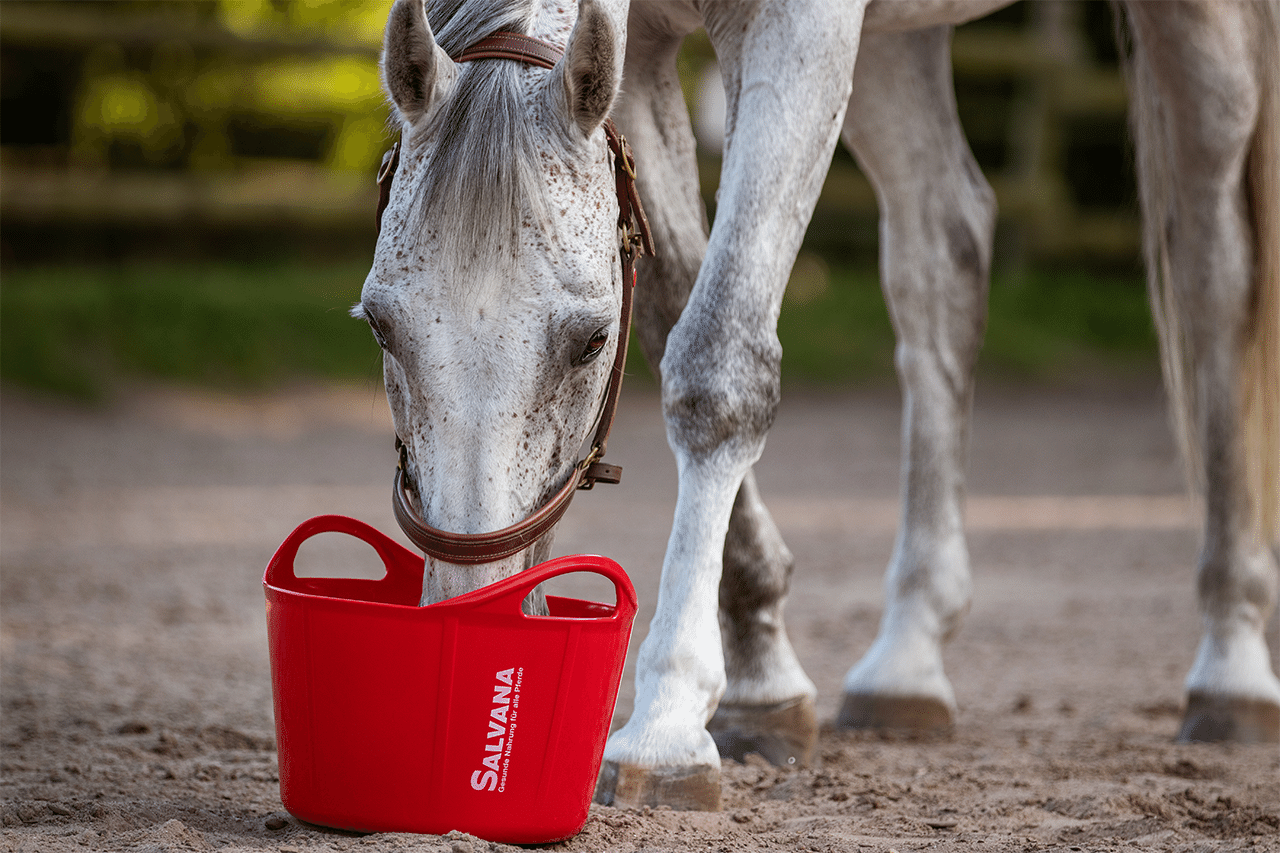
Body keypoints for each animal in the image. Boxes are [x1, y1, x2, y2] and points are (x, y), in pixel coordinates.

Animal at [358, 0, 1280, 813]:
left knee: (1215, 274)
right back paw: (907, 658)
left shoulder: (796, 28)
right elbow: (673, 308)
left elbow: (717, 368)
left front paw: (667, 725)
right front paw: (761, 681)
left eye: (588, 341)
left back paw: (1231, 665)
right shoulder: (643, 56)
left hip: (1203, 39)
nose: (474, 612)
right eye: (378, 325)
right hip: (899, 48)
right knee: (945, 250)